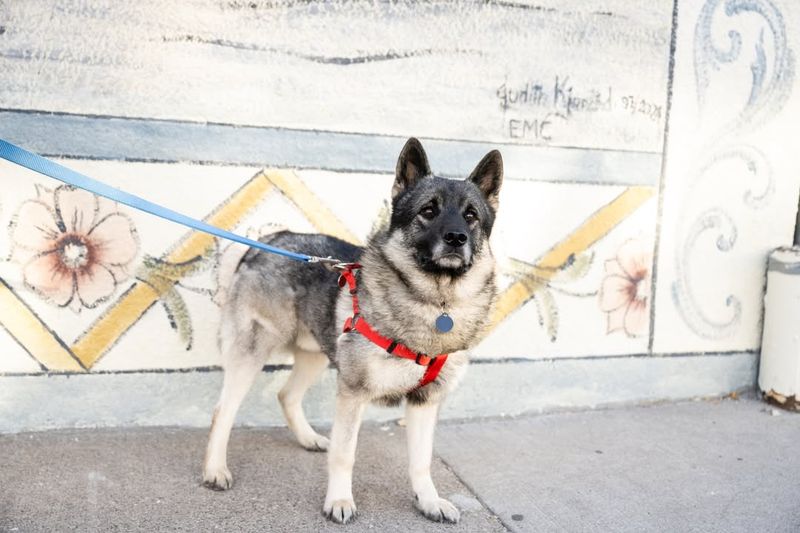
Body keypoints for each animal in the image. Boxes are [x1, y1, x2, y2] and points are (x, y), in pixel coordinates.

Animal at [202, 138, 500, 524]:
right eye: (428, 211)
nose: (456, 238)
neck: (436, 303)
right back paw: (215, 469)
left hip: (316, 353)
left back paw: (308, 438)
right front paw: (340, 500)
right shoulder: (353, 394)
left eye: (471, 215)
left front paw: (429, 500)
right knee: (223, 411)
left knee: (287, 395)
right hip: (250, 353)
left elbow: (421, 461)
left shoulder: (424, 402)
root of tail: (272, 239)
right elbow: (346, 454)